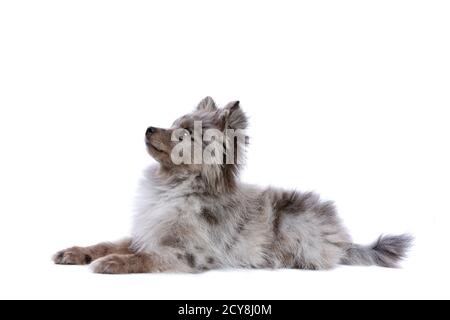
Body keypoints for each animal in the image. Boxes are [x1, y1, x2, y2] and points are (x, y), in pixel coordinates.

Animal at [52, 97, 412, 272]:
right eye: (171, 123)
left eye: (183, 133)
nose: (148, 128)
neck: (174, 187)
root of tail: (344, 239)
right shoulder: (147, 233)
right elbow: (107, 243)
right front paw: (77, 252)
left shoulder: (186, 253)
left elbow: (144, 259)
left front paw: (113, 263)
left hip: (292, 222)